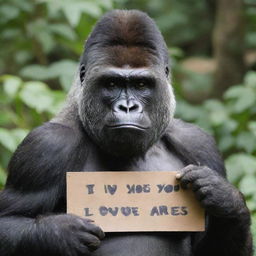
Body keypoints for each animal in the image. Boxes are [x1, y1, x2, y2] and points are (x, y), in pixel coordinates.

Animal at [0, 9, 252, 255]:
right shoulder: (46, 146)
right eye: (111, 84)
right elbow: (7, 220)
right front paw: (61, 233)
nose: (128, 107)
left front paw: (226, 200)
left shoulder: (200, 144)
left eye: (141, 85)